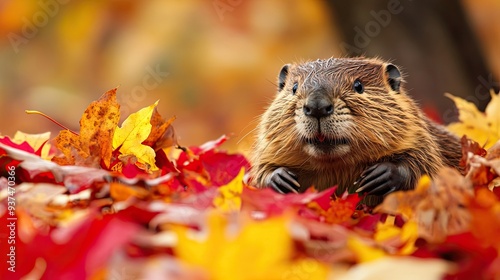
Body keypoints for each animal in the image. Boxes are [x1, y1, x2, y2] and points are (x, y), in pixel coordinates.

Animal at [249, 57, 460, 206]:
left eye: (358, 86)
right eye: (294, 87)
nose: (317, 106)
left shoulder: (420, 135)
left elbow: (426, 167)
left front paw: (379, 175)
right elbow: (260, 172)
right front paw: (280, 179)